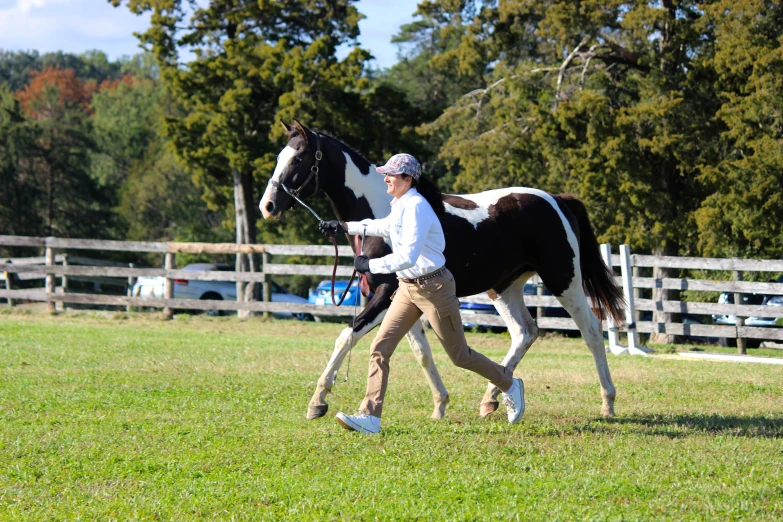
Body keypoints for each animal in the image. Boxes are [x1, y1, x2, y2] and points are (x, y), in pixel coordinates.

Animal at [262, 119, 624, 418]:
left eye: (298, 159)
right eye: (280, 157)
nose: (268, 206)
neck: (383, 214)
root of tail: (557, 199)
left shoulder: (384, 294)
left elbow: (345, 336)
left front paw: (318, 401)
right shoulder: (403, 298)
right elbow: (421, 352)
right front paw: (440, 404)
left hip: (564, 280)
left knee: (592, 330)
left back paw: (607, 402)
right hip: (504, 287)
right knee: (525, 332)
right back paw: (492, 398)